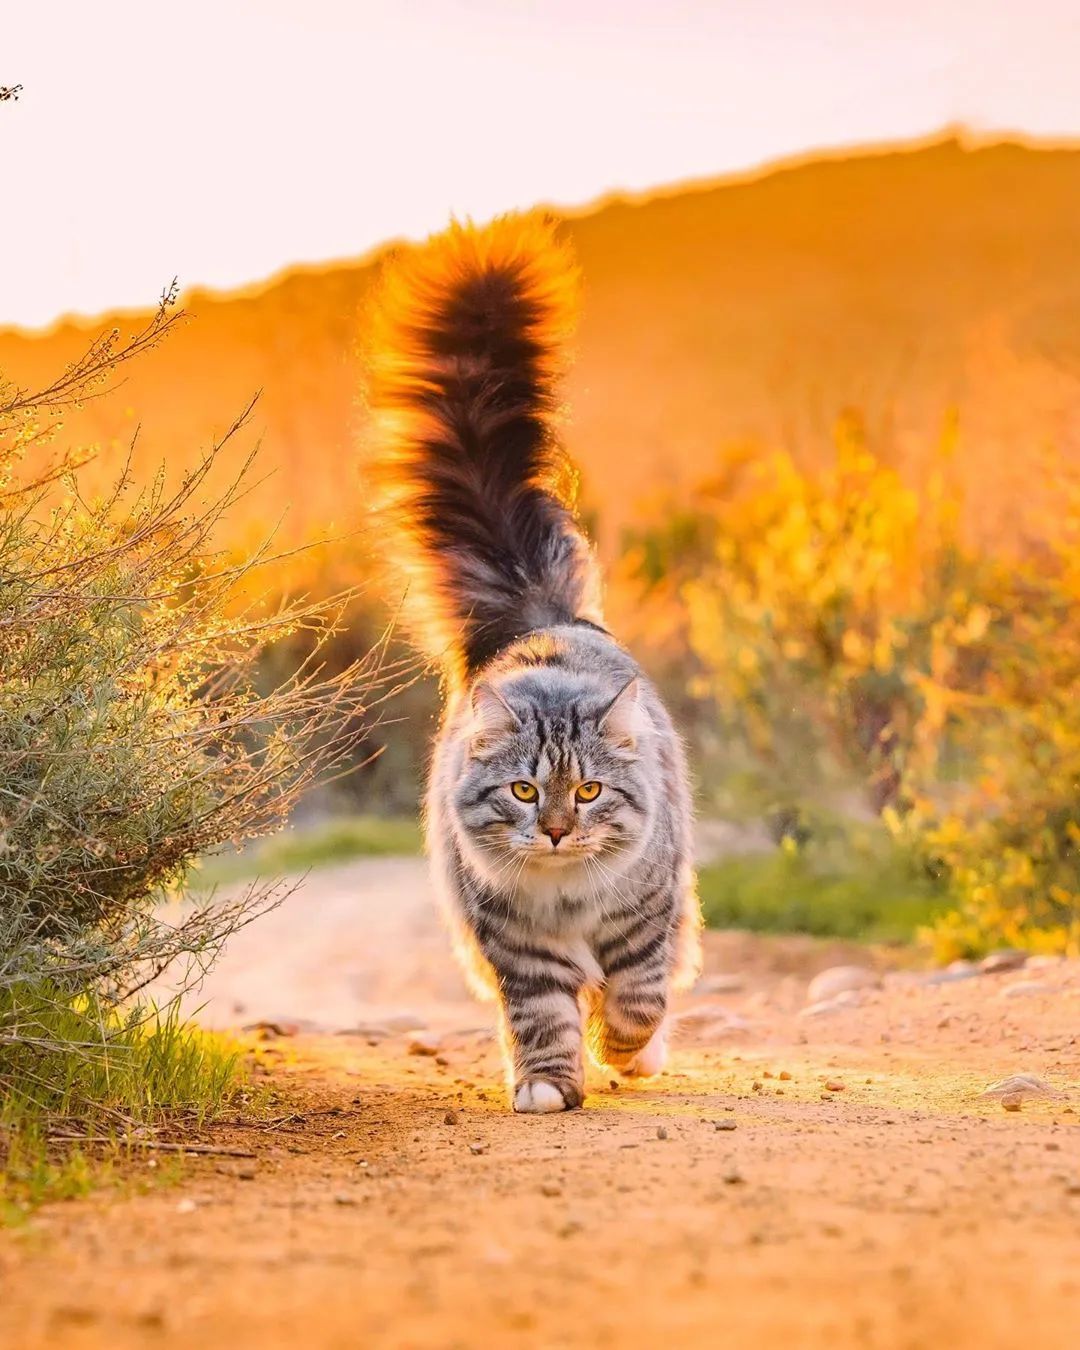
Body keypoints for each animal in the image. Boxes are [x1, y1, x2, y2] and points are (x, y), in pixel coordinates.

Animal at [364, 216, 702, 1112]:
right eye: (523, 791)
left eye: (586, 792)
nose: (553, 831)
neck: (566, 895)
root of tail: (537, 613)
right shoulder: (513, 940)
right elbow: (543, 1014)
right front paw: (549, 1083)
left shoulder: (645, 912)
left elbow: (640, 992)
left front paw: (622, 1047)